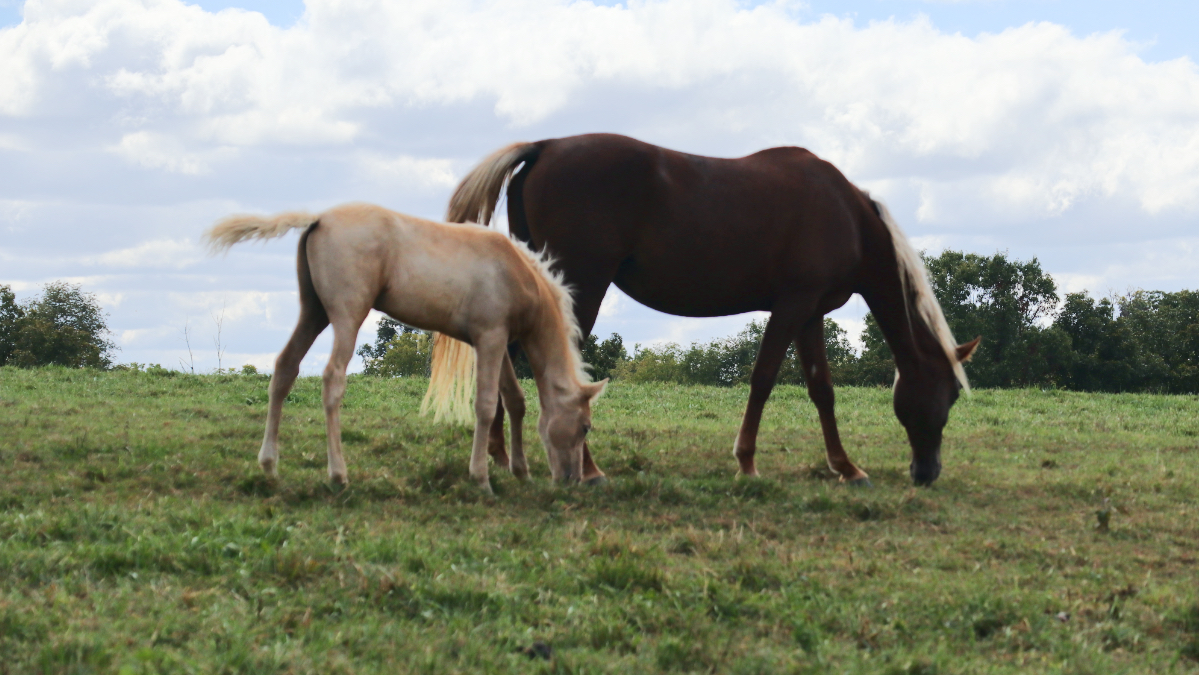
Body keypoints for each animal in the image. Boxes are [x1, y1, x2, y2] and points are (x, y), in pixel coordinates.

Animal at [202, 200, 609, 487]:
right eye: (585, 427)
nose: (571, 480)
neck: (519, 273)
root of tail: (319, 218)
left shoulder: (497, 341)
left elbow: (515, 401)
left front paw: (520, 471)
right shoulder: (490, 339)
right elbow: (485, 404)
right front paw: (481, 477)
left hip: (313, 314)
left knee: (285, 368)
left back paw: (269, 465)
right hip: (347, 316)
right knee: (333, 378)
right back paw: (338, 474)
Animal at [439, 133, 974, 485]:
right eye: (949, 394)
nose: (927, 472)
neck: (847, 216)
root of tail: (546, 146)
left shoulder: (811, 313)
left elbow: (822, 389)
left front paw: (845, 466)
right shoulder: (792, 305)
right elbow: (763, 379)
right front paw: (747, 461)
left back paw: (501, 453)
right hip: (578, 292)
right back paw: (586, 469)